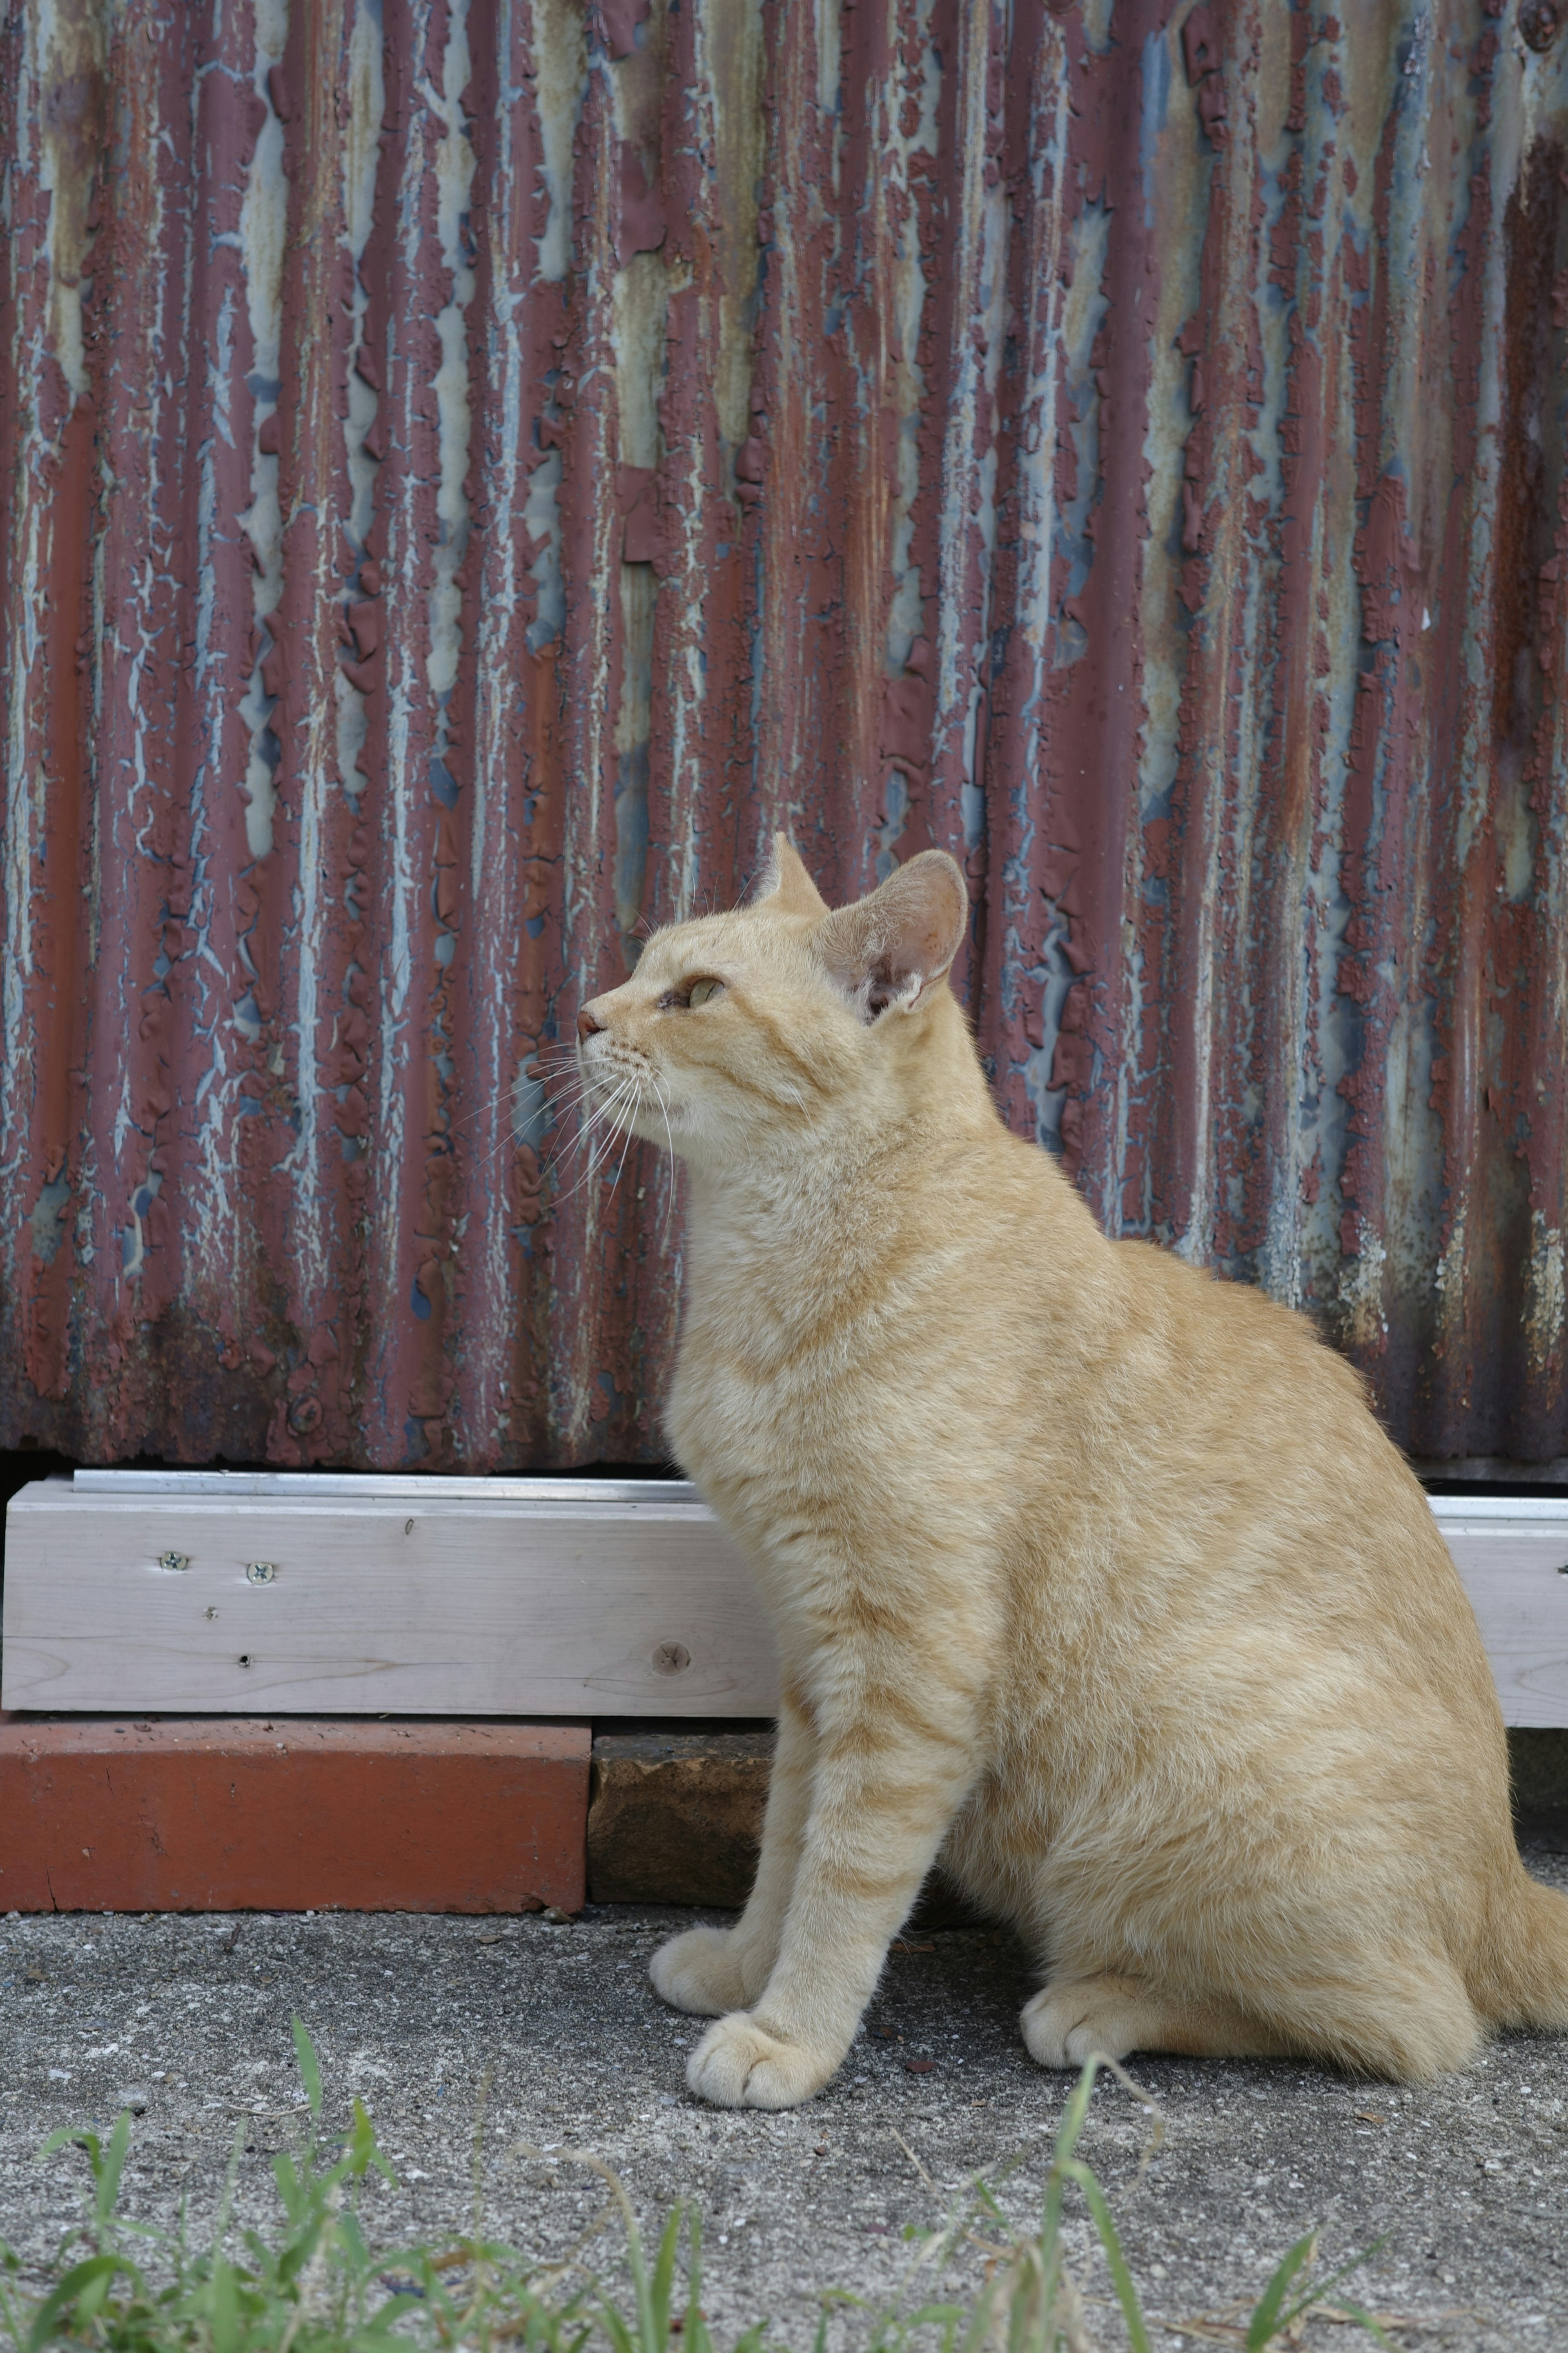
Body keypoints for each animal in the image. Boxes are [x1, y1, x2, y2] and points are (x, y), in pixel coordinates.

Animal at [576, 842, 1568, 2117]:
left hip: (1190, 1755)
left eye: (694, 994)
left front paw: (790, 2034)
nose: (582, 1015)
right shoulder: (814, 1656)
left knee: (1416, 2025)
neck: (784, 1251)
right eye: (642, 968)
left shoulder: (911, 1669)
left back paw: (1102, 2006)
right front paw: (747, 1965)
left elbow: (845, 1878)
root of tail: (1509, 1886)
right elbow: (787, 1840)